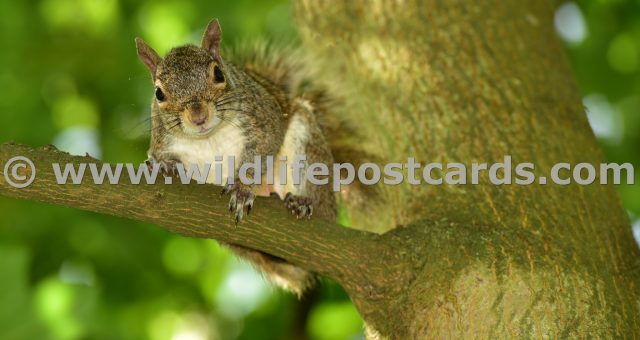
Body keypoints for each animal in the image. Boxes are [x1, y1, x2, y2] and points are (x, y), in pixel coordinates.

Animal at [133, 18, 338, 296]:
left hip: (308, 145)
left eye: (218, 74)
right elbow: (160, 157)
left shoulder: (264, 119)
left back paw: (302, 202)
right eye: (159, 94)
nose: (198, 116)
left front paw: (242, 189)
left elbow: (262, 150)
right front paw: (163, 165)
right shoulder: (162, 142)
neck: (208, 137)